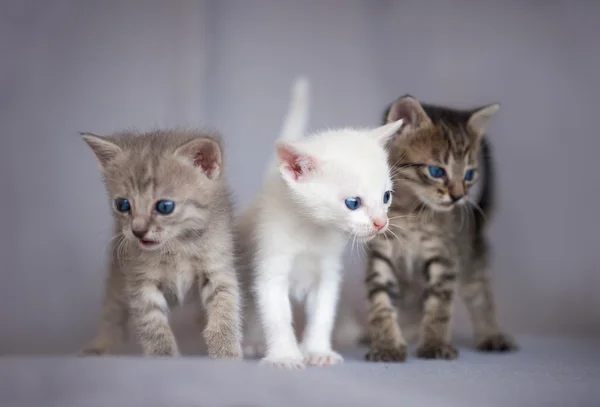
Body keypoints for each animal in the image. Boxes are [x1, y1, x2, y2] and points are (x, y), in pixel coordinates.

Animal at [79, 129, 241, 358]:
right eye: (122, 204)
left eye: (165, 206)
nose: (137, 231)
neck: (177, 246)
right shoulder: (139, 280)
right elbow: (153, 326)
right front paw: (163, 356)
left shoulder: (217, 266)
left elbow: (225, 309)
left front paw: (226, 350)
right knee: (112, 312)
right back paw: (100, 345)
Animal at [237, 79, 406, 370]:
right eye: (353, 203)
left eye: (386, 197)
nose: (380, 222)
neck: (310, 229)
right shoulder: (271, 270)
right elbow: (277, 317)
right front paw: (285, 355)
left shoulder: (327, 273)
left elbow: (322, 315)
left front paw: (317, 350)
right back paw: (253, 341)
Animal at [364, 96, 516, 364]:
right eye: (436, 171)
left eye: (469, 174)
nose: (458, 197)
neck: (410, 212)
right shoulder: (380, 254)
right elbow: (381, 303)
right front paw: (387, 344)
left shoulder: (444, 256)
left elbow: (439, 305)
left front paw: (435, 344)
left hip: (473, 262)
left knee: (481, 298)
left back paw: (491, 335)